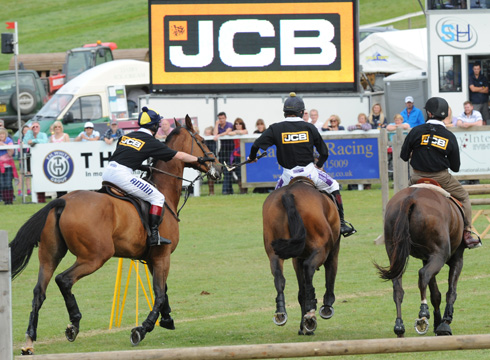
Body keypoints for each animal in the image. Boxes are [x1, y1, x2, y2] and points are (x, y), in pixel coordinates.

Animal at [8, 116, 222, 354]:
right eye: (202, 140)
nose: (218, 167)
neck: (164, 193)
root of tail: (62, 200)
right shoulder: (162, 256)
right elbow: (158, 293)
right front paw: (143, 328)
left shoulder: (151, 258)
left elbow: (163, 290)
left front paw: (166, 319)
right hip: (95, 256)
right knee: (64, 280)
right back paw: (74, 323)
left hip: (50, 255)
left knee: (39, 291)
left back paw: (30, 339)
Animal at [264, 176, 340, 334]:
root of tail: (288, 194)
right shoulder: (333, 251)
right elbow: (330, 275)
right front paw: (326, 307)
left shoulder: (296, 259)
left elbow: (301, 292)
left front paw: (303, 327)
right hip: (321, 250)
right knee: (309, 268)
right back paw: (311, 313)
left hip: (274, 252)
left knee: (279, 276)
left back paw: (281, 312)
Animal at [376, 186, 468, 338]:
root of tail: (411, 198)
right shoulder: (456, 259)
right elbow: (451, 291)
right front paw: (445, 322)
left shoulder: (426, 259)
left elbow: (435, 294)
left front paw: (438, 323)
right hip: (439, 256)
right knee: (423, 274)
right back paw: (423, 313)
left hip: (395, 254)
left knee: (398, 288)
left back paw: (399, 327)